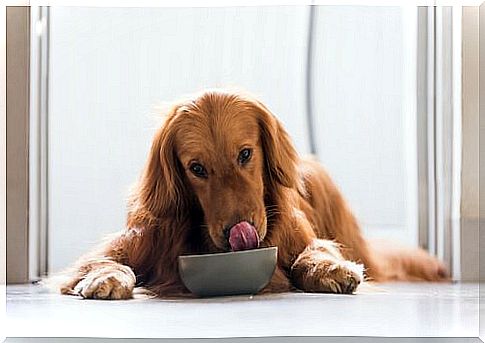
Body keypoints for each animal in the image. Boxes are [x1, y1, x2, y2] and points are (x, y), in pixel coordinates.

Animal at [58, 90, 448, 300]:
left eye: (245, 154)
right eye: (196, 168)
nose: (238, 232)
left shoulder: (301, 237)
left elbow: (313, 252)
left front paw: (330, 268)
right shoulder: (135, 241)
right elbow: (101, 261)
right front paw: (105, 277)